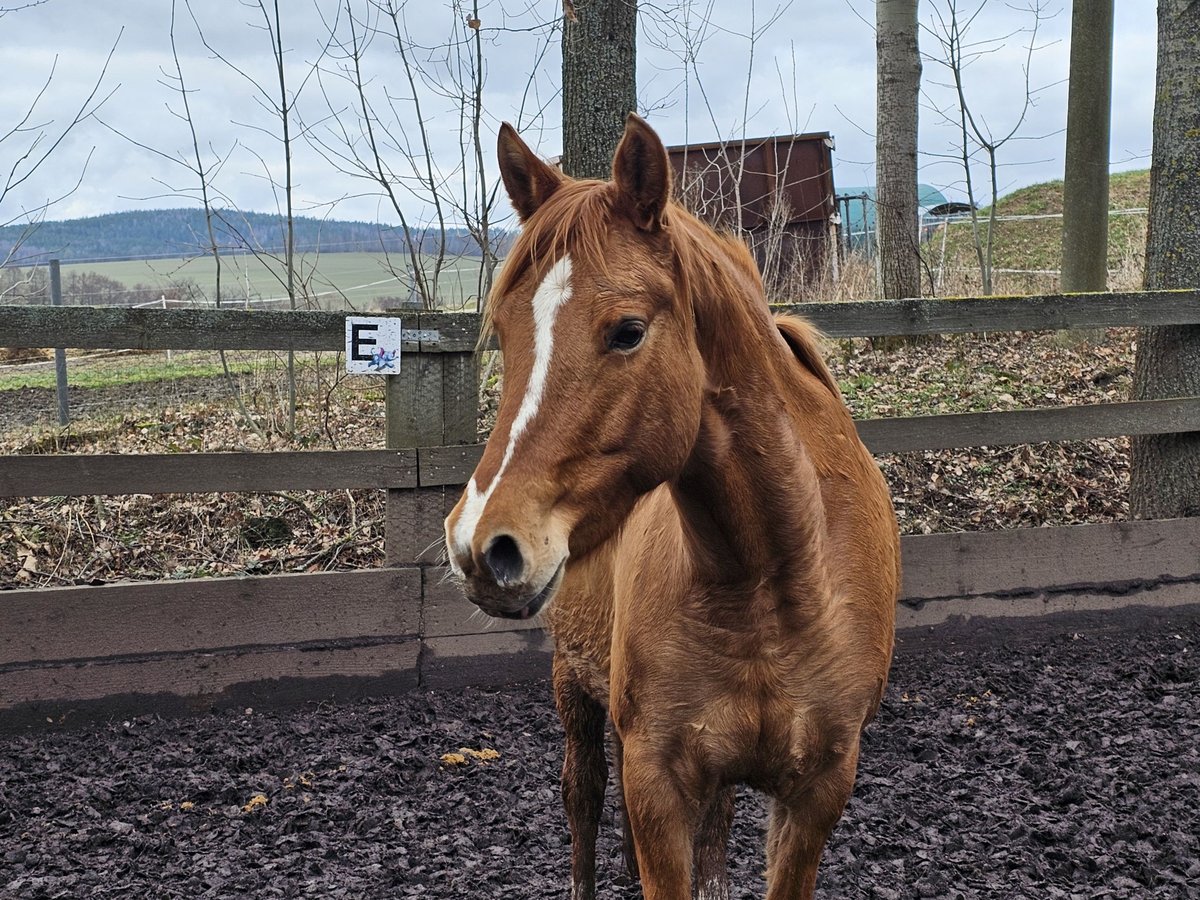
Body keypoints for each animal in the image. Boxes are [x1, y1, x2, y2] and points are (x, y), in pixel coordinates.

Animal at [446, 114, 897, 900]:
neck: (775, 576)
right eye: (503, 333)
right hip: (576, 691)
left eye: (627, 330)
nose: (481, 546)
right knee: (584, 797)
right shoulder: (655, 780)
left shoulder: (819, 791)